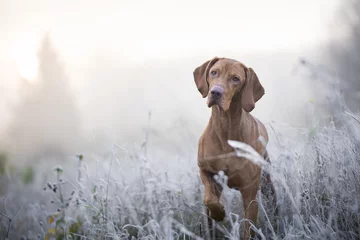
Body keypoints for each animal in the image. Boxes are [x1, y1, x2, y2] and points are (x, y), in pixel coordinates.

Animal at [194, 57, 276, 239]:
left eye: (235, 79)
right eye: (214, 72)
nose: (215, 92)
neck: (226, 129)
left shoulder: (250, 194)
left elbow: (248, 229)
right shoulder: (205, 169)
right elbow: (210, 199)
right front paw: (219, 213)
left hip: (267, 181)